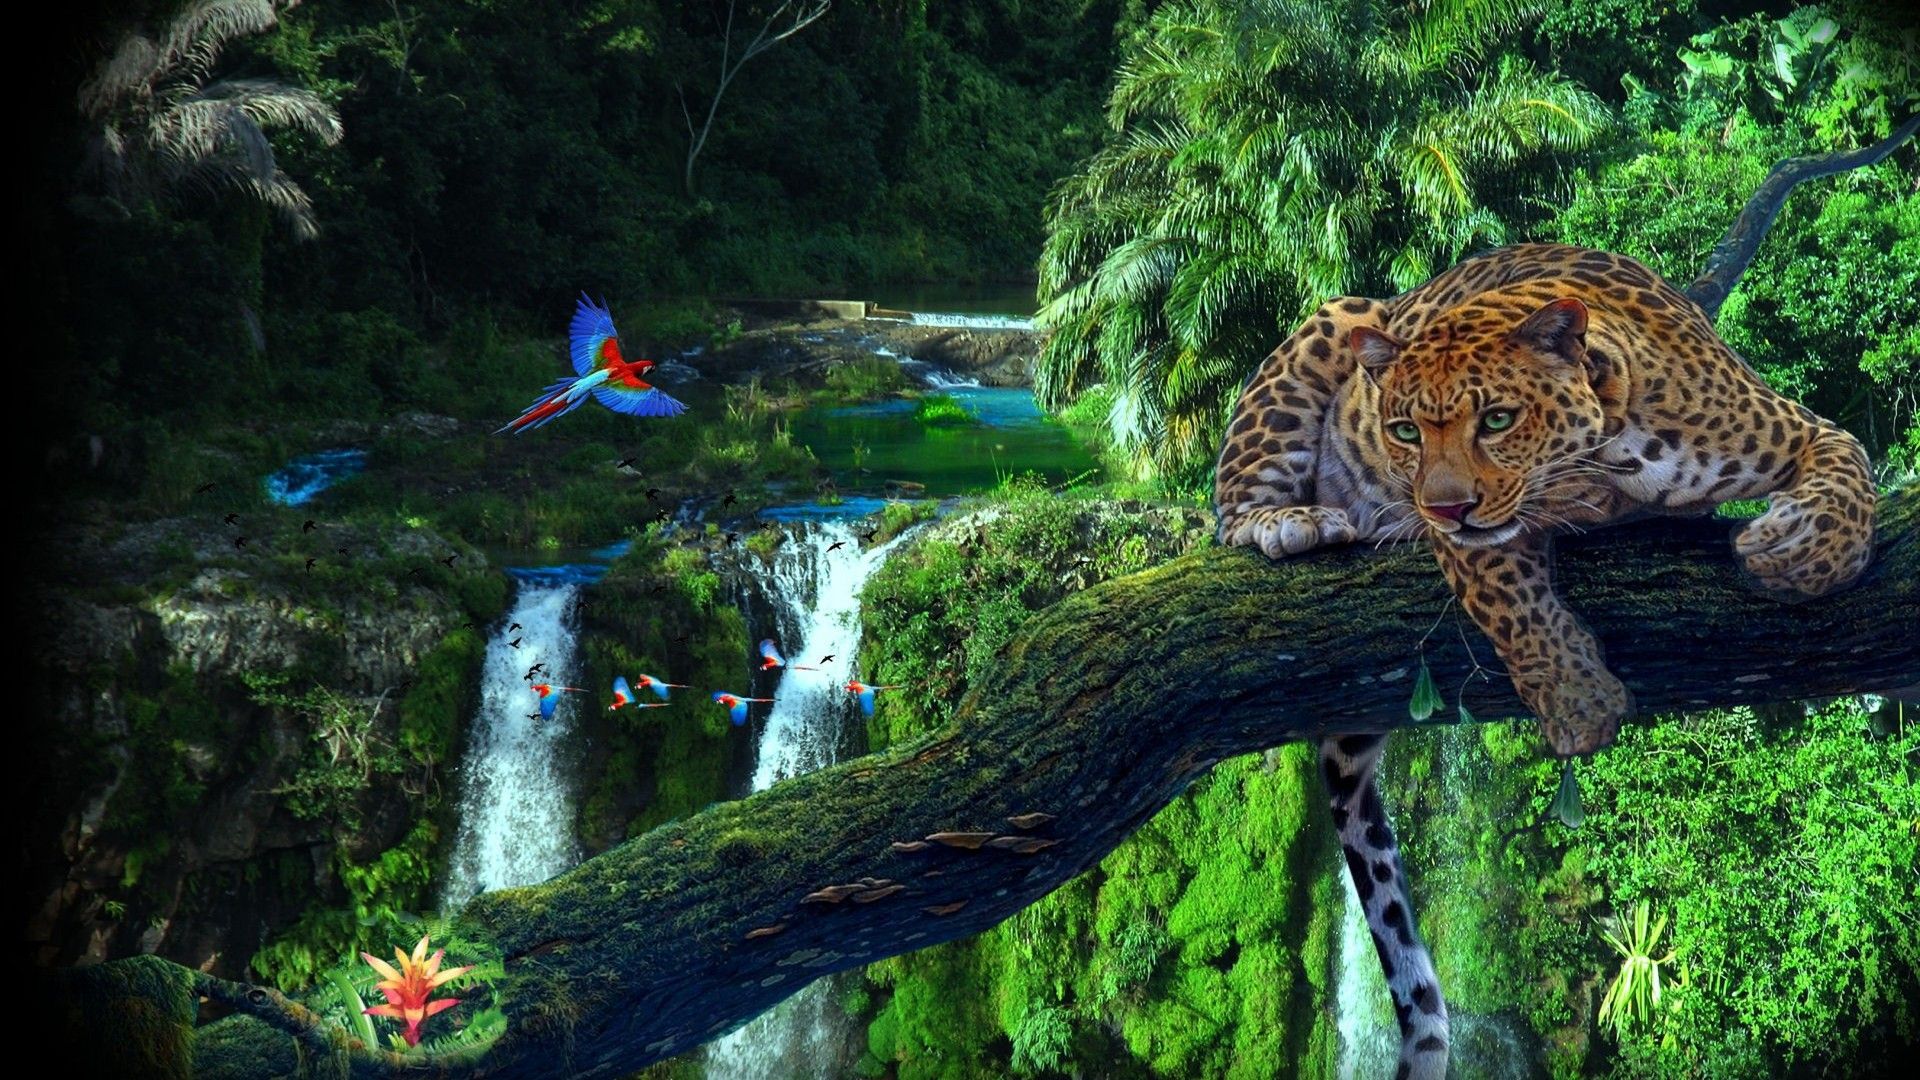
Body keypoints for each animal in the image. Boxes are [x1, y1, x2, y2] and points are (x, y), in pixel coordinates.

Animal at [1212, 242, 1877, 1078]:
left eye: (1497, 419)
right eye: (1402, 431)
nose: (1441, 506)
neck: (1613, 455)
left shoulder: (1794, 428)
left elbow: (1849, 471)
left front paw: (1798, 551)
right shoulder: (1472, 542)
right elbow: (1509, 598)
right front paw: (1576, 698)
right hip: (1334, 321)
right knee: (1232, 510)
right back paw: (1288, 521)